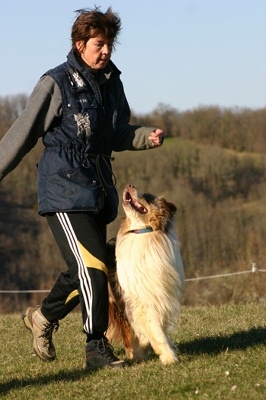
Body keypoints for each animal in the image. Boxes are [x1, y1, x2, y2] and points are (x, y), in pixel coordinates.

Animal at [106, 184, 185, 366]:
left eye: (148, 196)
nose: (130, 185)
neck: (143, 232)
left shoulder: (160, 296)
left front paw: (141, 353)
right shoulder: (141, 301)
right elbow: (155, 331)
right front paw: (169, 357)